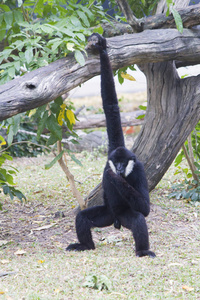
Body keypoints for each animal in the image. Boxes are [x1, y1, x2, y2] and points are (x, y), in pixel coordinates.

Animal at [66, 33, 155, 258]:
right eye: (118, 162)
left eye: (124, 163)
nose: (120, 168)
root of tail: (115, 220)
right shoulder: (110, 153)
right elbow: (110, 106)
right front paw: (102, 49)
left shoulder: (139, 169)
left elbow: (145, 208)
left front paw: (116, 179)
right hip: (105, 214)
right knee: (82, 217)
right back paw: (86, 245)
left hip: (122, 216)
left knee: (138, 219)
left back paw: (142, 251)